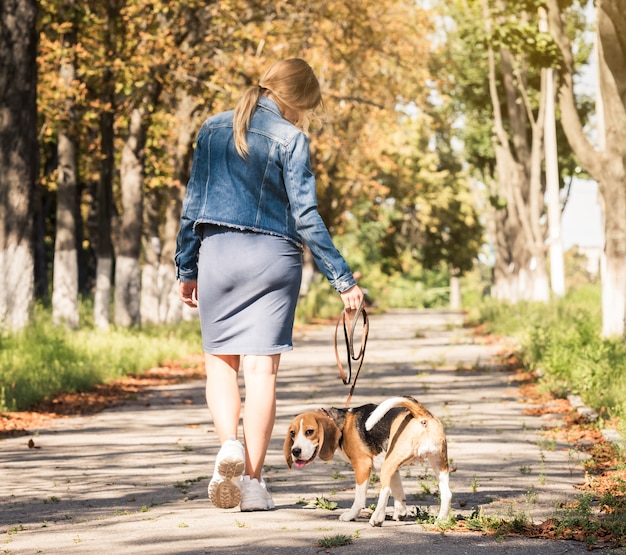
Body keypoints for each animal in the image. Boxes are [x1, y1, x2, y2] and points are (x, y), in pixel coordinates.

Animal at [282, 396, 448, 524]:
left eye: (309, 432)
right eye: (292, 433)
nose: (295, 451)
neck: (342, 423)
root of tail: (421, 415)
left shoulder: (362, 465)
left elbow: (360, 498)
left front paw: (350, 515)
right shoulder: (394, 470)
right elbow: (398, 492)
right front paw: (400, 512)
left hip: (389, 465)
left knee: (385, 491)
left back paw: (377, 518)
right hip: (437, 464)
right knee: (447, 494)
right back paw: (441, 520)